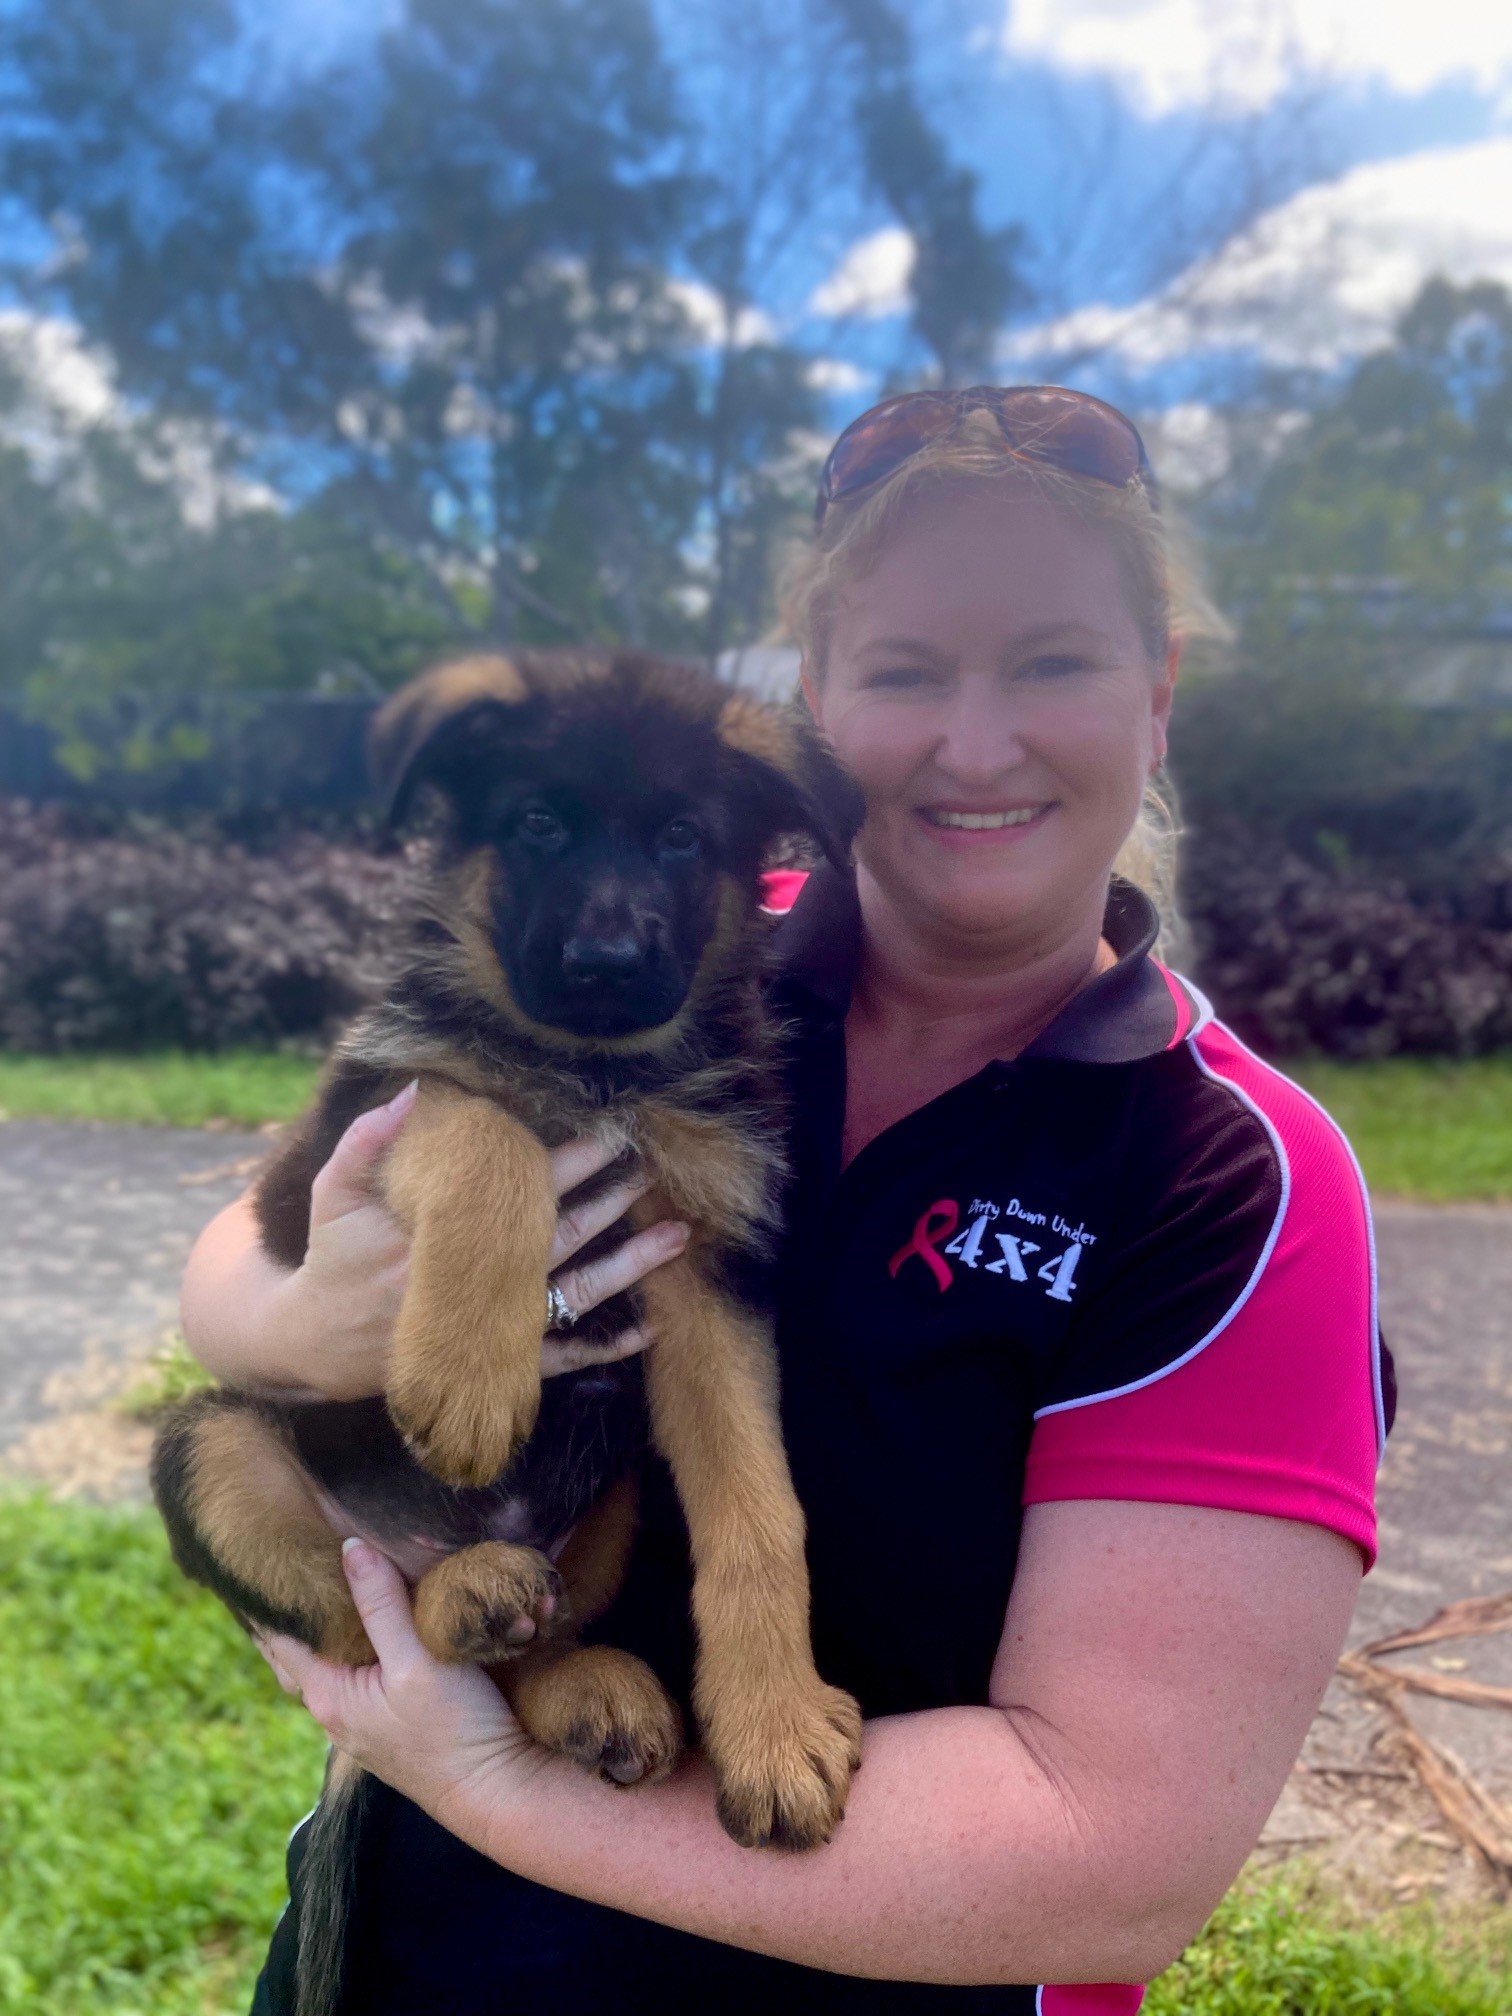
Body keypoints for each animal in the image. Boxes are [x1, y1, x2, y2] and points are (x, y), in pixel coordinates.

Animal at [155, 645, 870, 2016]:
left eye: (684, 839)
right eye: (537, 822)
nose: (605, 960)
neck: (600, 1070)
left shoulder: (709, 1271)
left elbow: (761, 1519)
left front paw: (775, 1728)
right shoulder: (351, 1137)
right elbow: (482, 1117)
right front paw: (471, 1376)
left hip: (620, 1491)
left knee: (516, 1650)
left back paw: (574, 1673)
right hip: (210, 1446)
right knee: (372, 1629)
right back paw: (465, 1590)